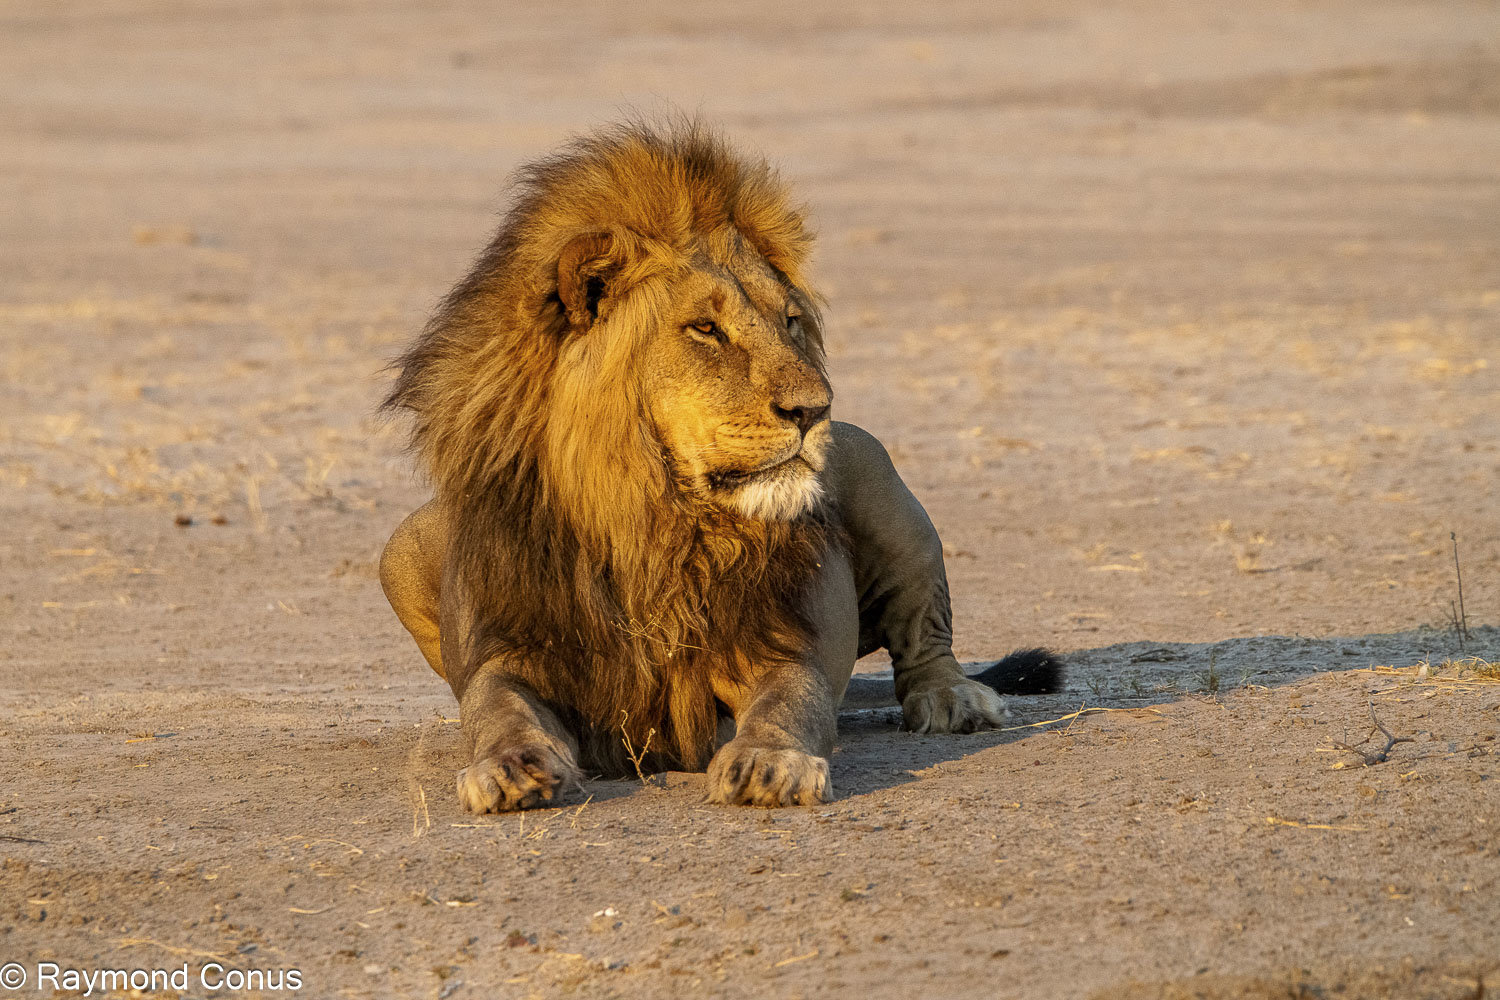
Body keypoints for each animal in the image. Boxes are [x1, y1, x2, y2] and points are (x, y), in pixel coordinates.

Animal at [378, 119, 1061, 811]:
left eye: (790, 320)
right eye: (705, 329)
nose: (816, 408)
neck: (647, 519)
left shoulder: (779, 643)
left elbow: (791, 700)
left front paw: (771, 762)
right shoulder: (507, 649)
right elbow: (496, 708)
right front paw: (508, 766)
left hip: (878, 473)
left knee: (926, 637)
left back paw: (952, 699)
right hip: (402, 546)